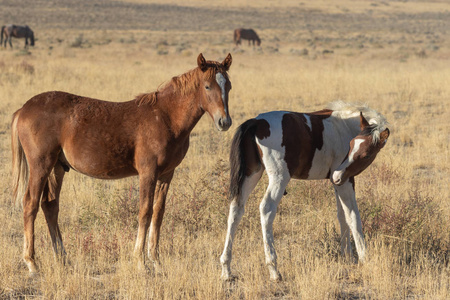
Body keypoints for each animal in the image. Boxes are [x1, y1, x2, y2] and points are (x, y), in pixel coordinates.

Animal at [12, 52, 234, 274]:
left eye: (229, 86)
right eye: (207, 86)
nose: (224, 122)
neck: (166, 118)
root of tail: (23, 109)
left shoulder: (166, 174)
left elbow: (158, 213)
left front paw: (156, 260)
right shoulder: (148, 173)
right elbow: (145, 212)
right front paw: (140, 262)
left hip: (57, 168)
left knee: (50, 206)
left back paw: (63, 258)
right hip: (41, 165)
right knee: (30, 203)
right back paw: (32, 263)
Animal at [220, 101, 388, 282]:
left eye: (365, 154)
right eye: (351, 147)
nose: (336, 175)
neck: (344, 124)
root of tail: (256, 122)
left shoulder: (338, 183)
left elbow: (342, 217)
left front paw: (347, 257)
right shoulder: (346, 181)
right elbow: (353, 217)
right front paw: (364, 258)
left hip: (251, 175)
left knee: (236, 210)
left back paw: (226, 268)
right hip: (279, 178)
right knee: (266, 209)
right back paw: (273, 269)